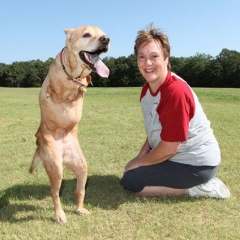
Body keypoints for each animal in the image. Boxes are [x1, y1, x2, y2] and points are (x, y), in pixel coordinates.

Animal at [29, 25, 110, 223]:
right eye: (87, 34)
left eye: (103, 34)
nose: (106, 39)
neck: (73, 73)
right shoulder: (55, 91)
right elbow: (60, 92)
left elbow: (81, 87)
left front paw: (81, 87)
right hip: (56, 168)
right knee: (54, 192)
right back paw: (60, 215)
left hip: (81, 167)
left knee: (79, 191)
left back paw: (80, 209)